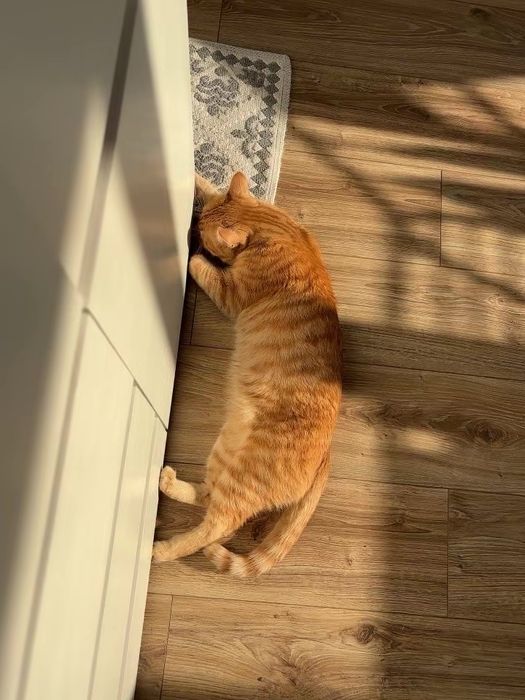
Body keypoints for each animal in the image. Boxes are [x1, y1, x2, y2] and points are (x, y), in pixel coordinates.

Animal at [152, 172, 342, 576]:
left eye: (202, 234)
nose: (192, 228)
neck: (276, 230)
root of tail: (325, 457)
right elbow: (211, 186)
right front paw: (194, 175)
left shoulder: (229, 293)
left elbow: (201, 267)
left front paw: (192, 253)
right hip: (225, 450)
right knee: (207, 497)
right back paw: (169, 482)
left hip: (240, 478)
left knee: (218, 525)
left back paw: (162, 549)